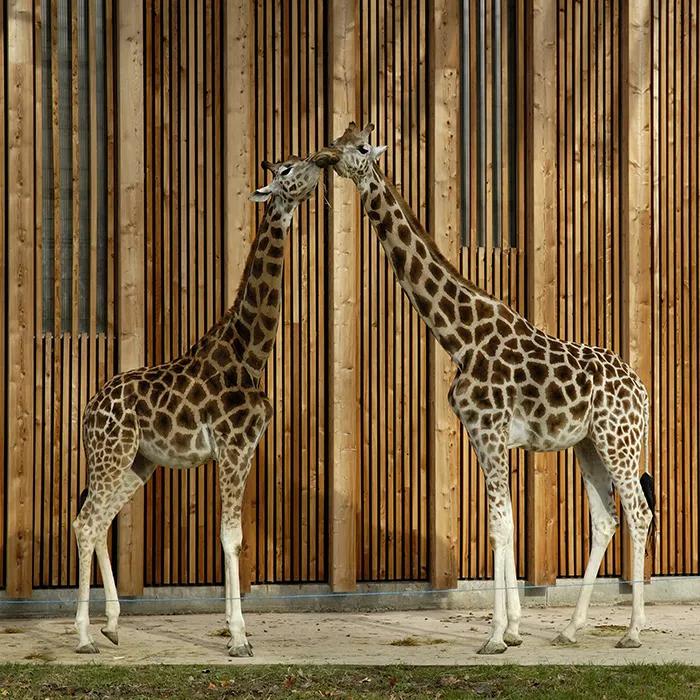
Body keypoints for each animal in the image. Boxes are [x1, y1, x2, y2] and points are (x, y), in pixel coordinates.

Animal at [72, 151, 337, 656]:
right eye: (287, 170)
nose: (322, 162)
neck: (251, 353)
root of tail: (87, 412)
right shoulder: (232, 448)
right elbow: (231, 537)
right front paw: (238, 638)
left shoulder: (246, 449)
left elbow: (234, 537)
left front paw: (237, 632)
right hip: (110, 455)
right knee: (85, 522)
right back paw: (83, 636)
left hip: (137, 463)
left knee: (99, 522)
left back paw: (111, 626)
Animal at [321, 122, 655, 654]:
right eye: (339, 137)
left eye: (360, 147)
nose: (326, 157)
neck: (460, 337)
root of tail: (643, 391)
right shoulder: (482, 436)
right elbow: (505, 525)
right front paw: (515, 630)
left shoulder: (489, 430)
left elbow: (499, 526)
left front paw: (496, 636)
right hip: (588, 444)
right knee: (605, 519)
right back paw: (569, 628)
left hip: (618, 441)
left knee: (640, 513)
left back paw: (633, 632)